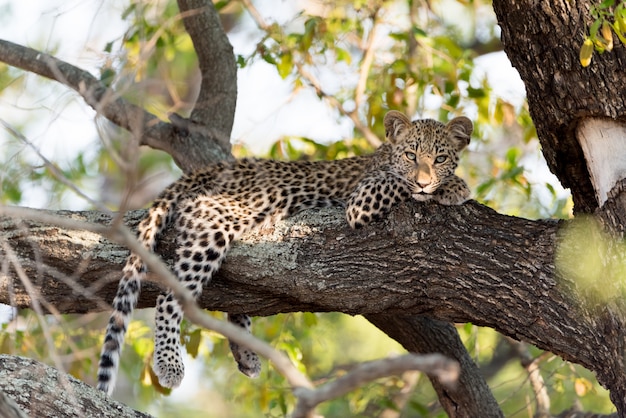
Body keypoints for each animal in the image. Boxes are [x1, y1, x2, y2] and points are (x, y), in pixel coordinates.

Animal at [95, 109, 470, 394]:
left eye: (439, 158)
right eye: (411, 155)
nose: (424, 180)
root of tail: (213, 169)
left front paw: (445, 185)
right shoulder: (363, 200)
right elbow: (399, 182)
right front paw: (454, 186)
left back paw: (246, 354)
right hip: (219, 218)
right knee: (169, 296)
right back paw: (169, 362)